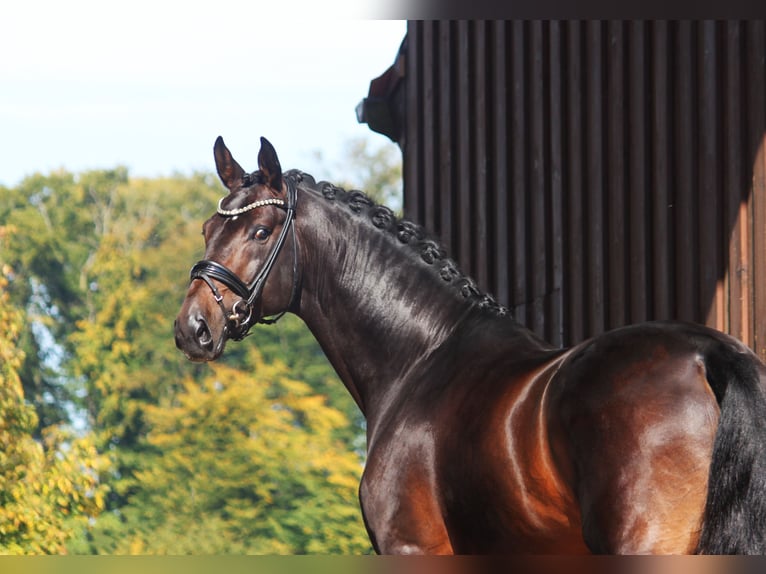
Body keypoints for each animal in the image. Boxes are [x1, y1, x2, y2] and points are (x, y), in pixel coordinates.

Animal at [174, 137, 766, 556]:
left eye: (261, 231)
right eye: (206, 228)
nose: (192, 328)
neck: (421, 356)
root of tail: (707, 356)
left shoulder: (415, 548)